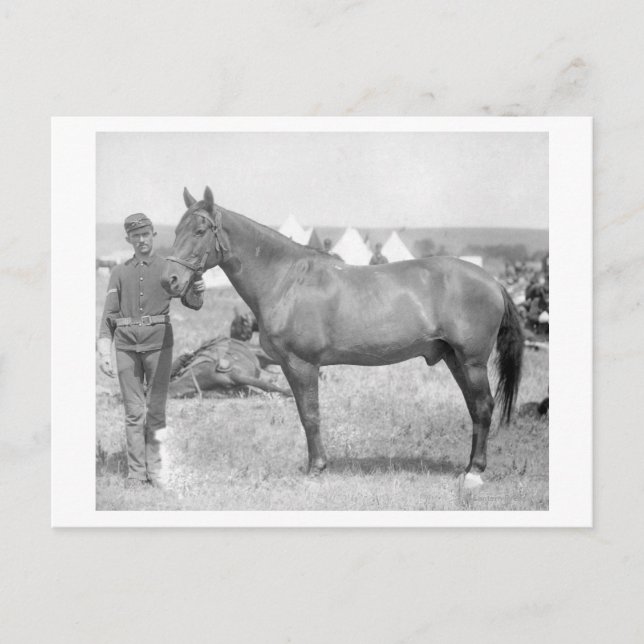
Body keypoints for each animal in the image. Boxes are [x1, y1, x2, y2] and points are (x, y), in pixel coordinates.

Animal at [161, 187, 524, 488]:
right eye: (175, 231)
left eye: (199, 231)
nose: (170, 280)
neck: (286, 280)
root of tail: (492, 281)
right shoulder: (289, 367)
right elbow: (303, 412)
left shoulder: (303, 365)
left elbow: (310, 415)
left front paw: (317, 468)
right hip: (454, 359)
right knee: (474, 408)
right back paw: (468, 467)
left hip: (472, 361)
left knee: (483, 406)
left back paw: (475, 472)